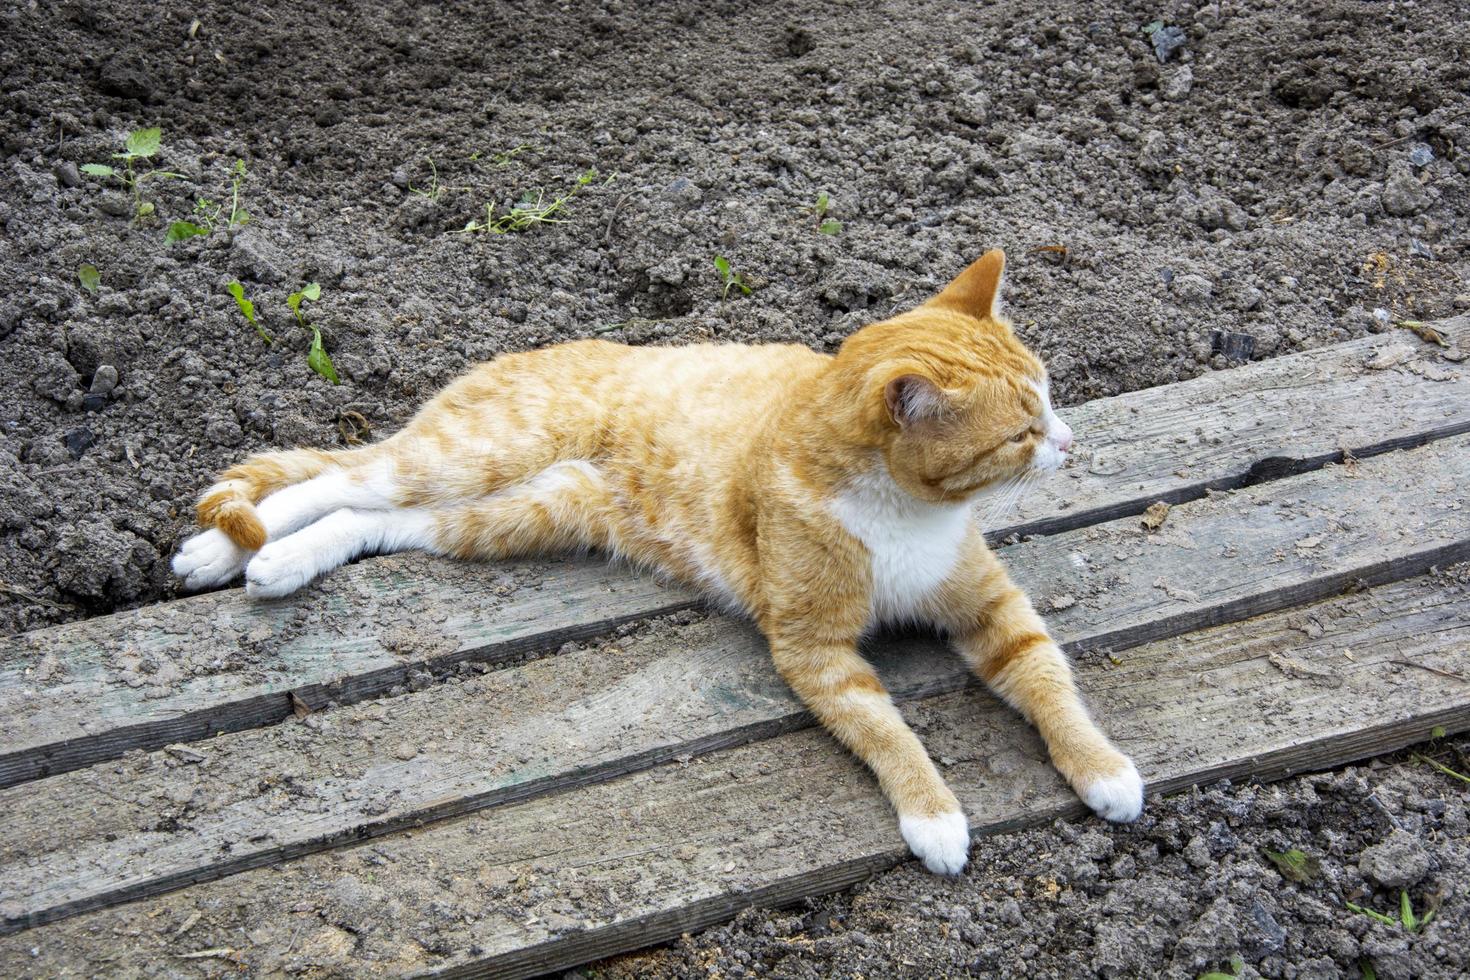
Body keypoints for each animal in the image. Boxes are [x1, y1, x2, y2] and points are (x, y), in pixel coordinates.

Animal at [174, 251, 1146, 875]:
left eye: (1050, 395)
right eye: (1021, 432)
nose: (1069, 440)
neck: (906, 514)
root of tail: (523, 351)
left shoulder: (992, 610)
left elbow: (1050, 681)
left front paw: (1102, 768)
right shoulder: (815, 652)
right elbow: (887, 732)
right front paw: (934, 816)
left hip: (517, 513)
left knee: (370, 517)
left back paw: (269, 560)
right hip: (475, 458)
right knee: (340, 477)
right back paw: (228, 547)